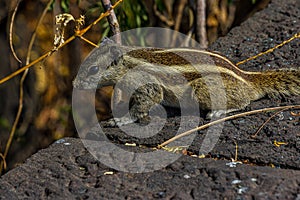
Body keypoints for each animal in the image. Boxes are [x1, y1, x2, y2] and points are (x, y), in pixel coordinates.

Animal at [73, 38, 300, 125]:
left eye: (94, 69)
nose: (75, 85)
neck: (128, 62)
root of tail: (247, 80)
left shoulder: (147, 85)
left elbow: (144, 103)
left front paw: (122, 119)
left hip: (201, 89)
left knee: (243, 102)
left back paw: (219, 111)